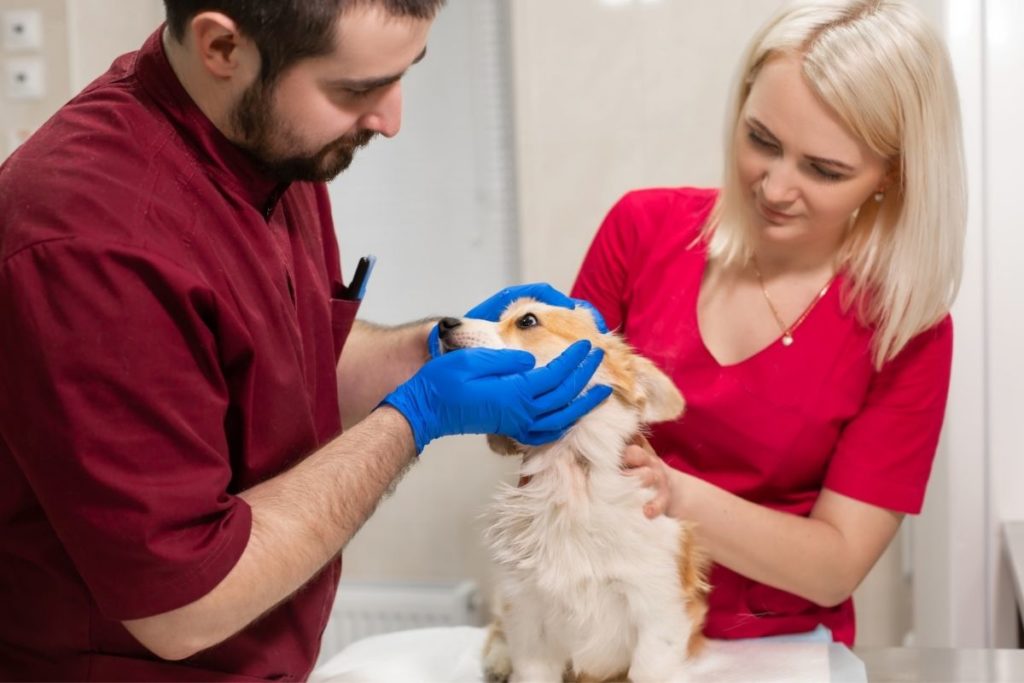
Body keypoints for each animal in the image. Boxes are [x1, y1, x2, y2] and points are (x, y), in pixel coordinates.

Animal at [436, 299, 708, 683]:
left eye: (527, 320)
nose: (443, 324)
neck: (570, 476)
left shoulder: (657, 610)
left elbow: (648, 669)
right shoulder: (528, 615)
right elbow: (531, 669)